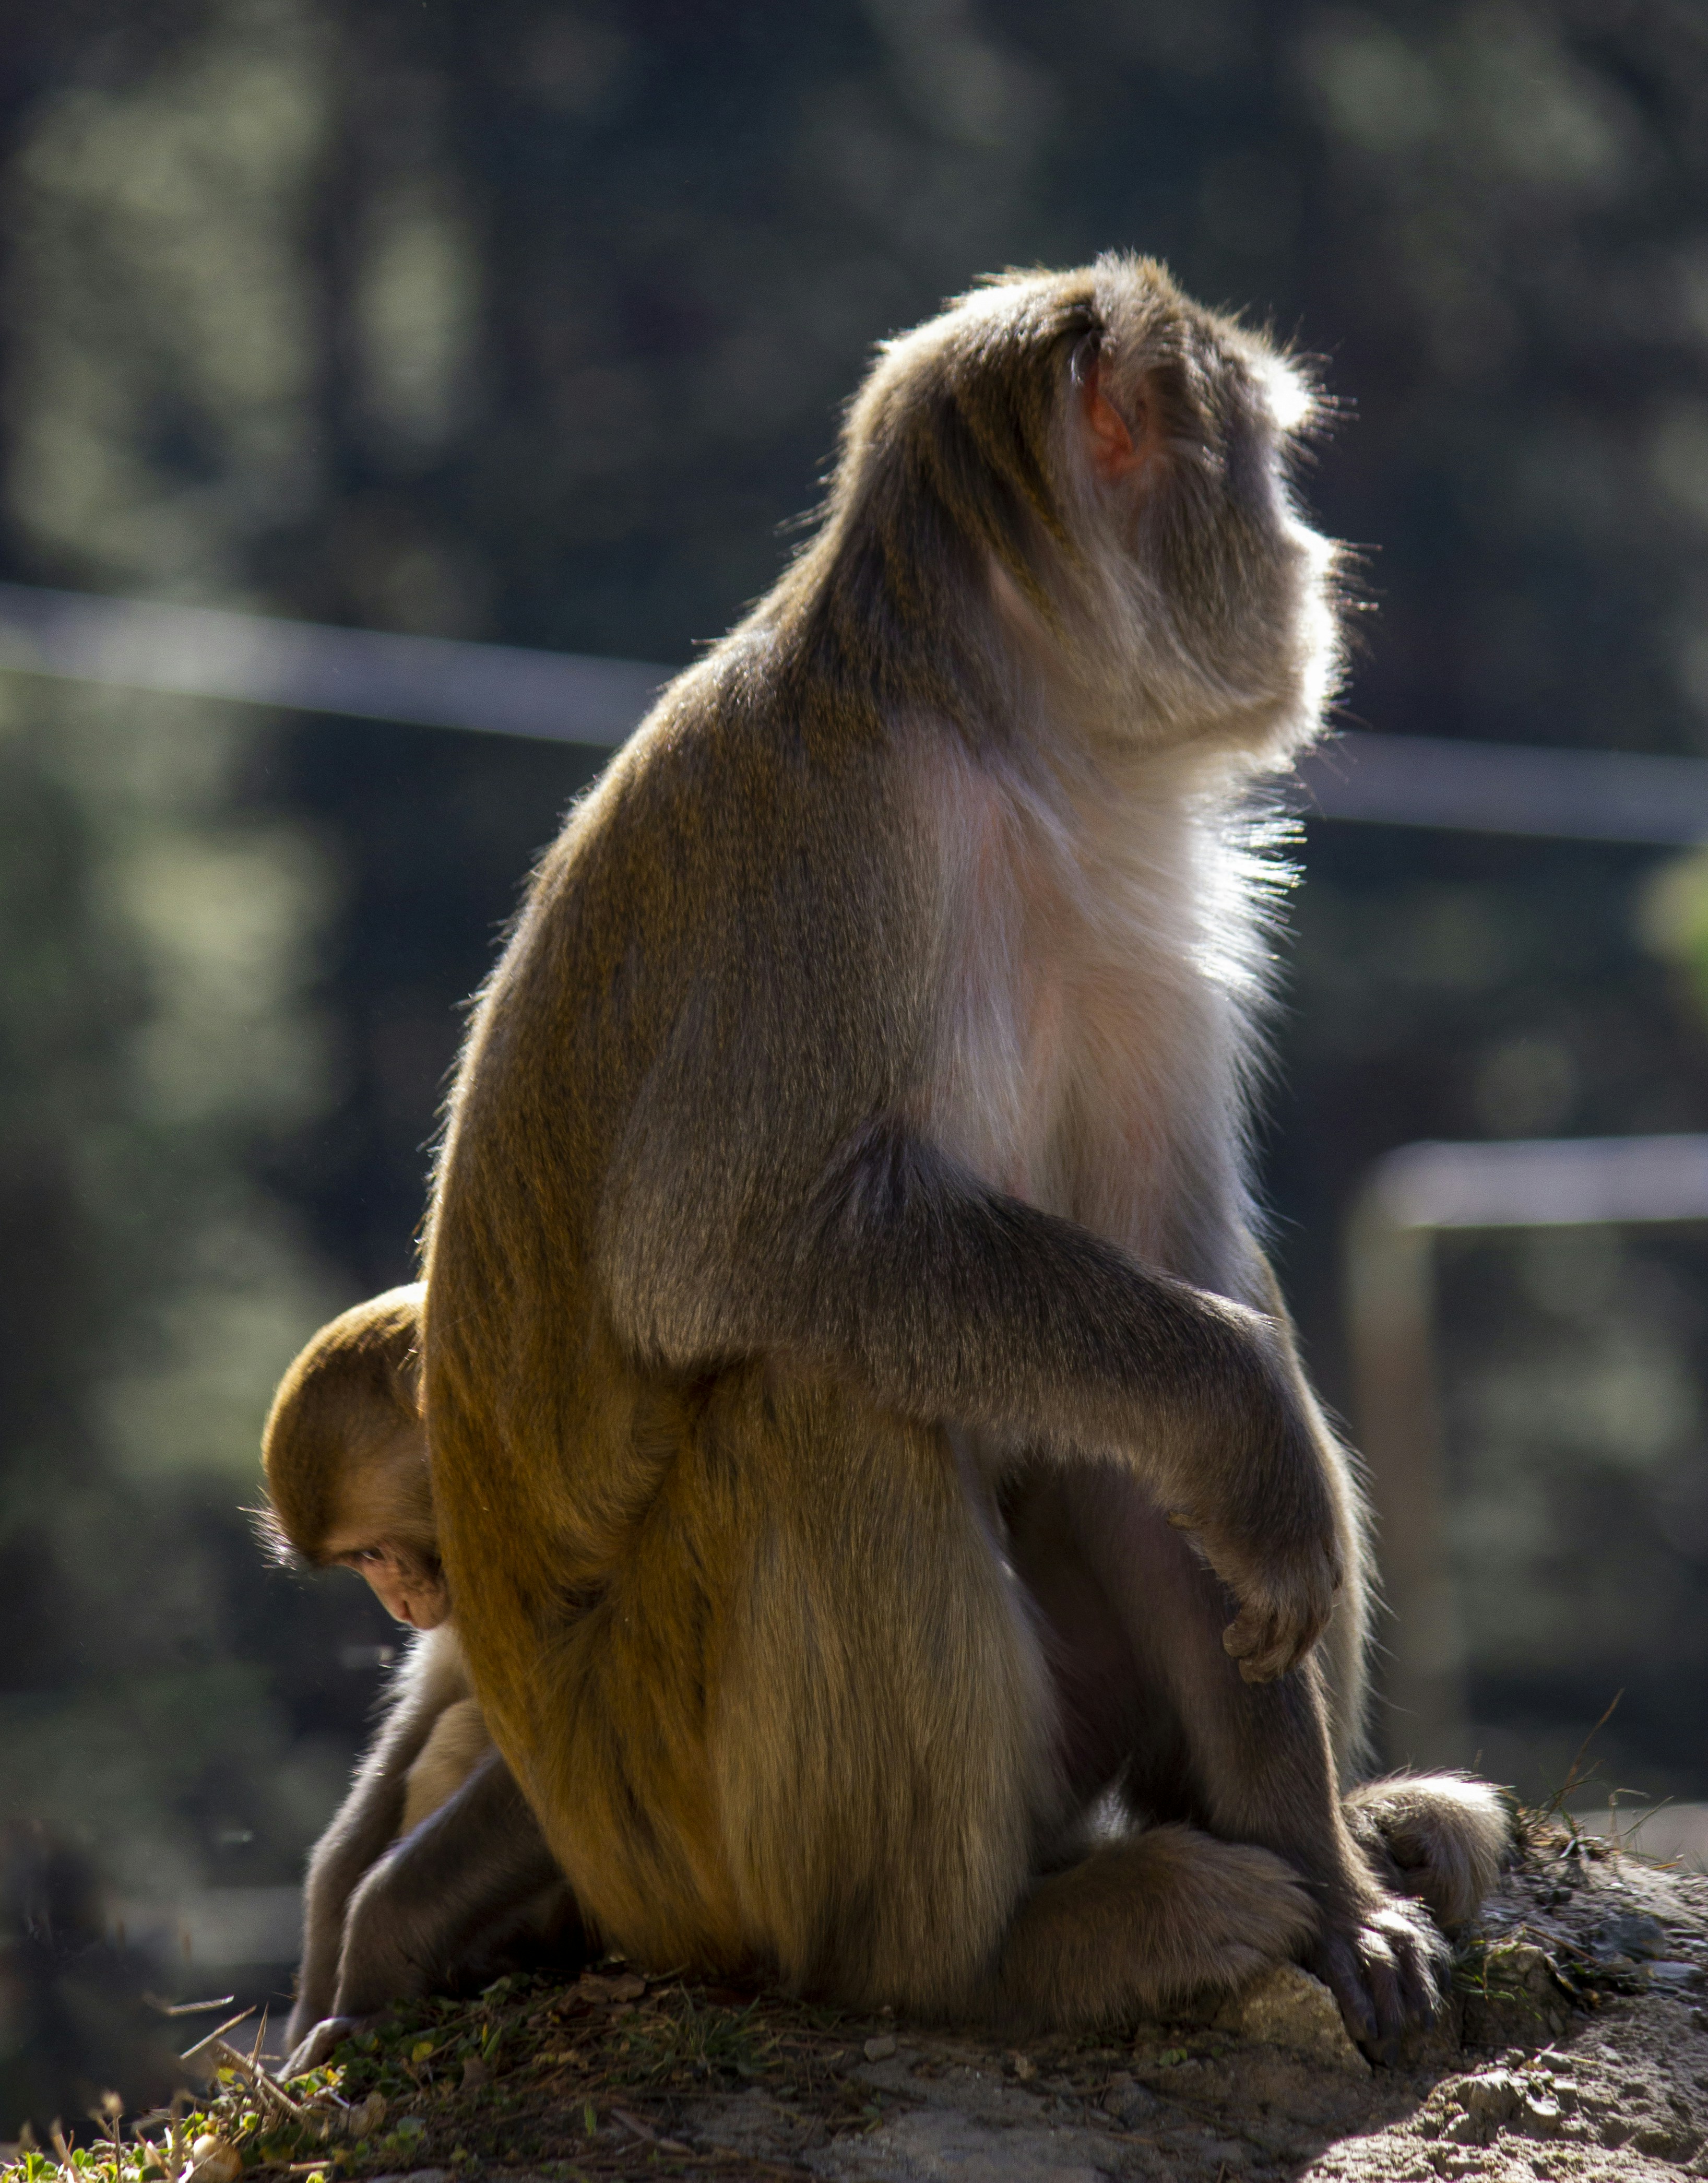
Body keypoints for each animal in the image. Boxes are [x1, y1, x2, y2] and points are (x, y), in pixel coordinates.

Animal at [421, 254, 1508, 2060]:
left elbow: (1173, 1294)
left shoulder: (1146, 936)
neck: (1007, 744)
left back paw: (1330, 1828)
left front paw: (1331, 1875)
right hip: (681, 1830)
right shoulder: (835, 856)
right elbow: (713, 1251)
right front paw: (1240, 1418)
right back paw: (975, 1957)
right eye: (1264, 463)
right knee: (823, 1400)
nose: (1317, 567)